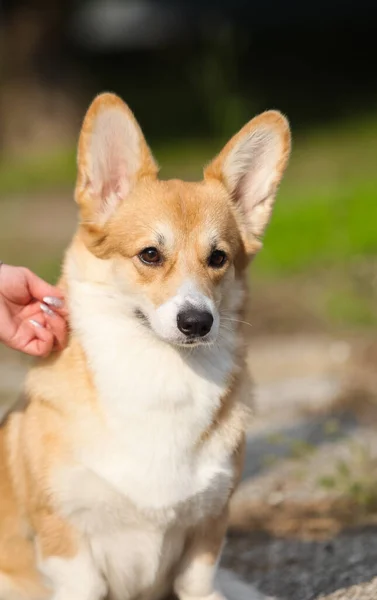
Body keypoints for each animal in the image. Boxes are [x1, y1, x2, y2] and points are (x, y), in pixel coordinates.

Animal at [0, 94, 288, 600]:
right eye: (150, 254)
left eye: (218, 258)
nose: (197, 322)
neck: (161, 373)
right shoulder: (64, 535)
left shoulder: (208, 527)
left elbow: (200, 582)